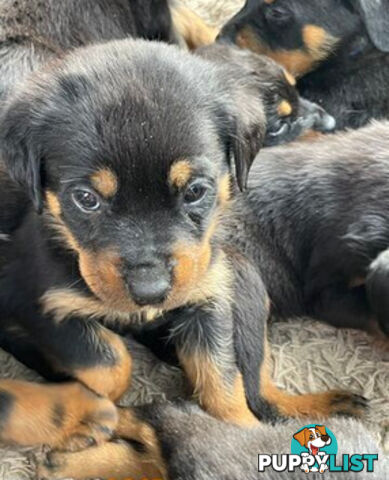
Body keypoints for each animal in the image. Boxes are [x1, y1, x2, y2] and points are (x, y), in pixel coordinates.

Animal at [0, 39, 364, 452]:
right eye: (86, 199)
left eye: (195, 191)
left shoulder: (208, 294)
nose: (150, 292)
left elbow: (223, 383)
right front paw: (89, 408)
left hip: (243, 278)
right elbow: (110, 364)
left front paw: (236, 436)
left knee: (259, 390)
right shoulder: (37, 299)